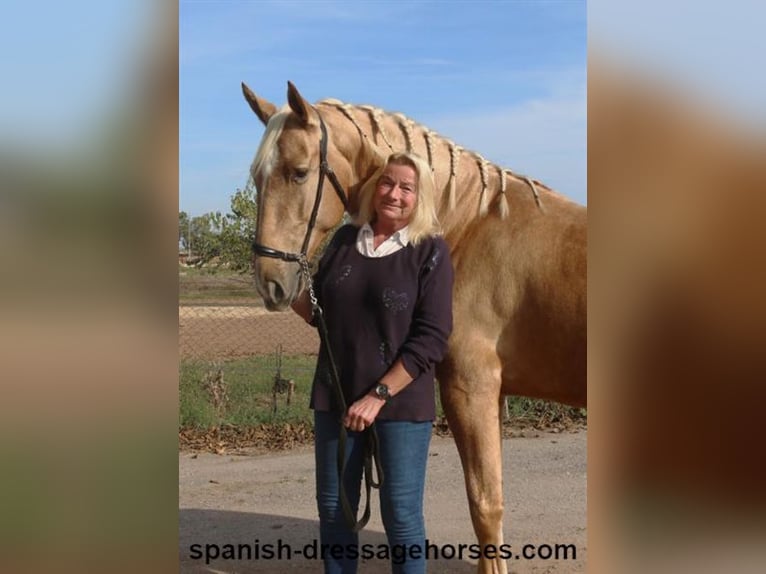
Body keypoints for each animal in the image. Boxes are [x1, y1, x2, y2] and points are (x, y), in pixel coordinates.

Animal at [242, 82, 588, 574]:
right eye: (257, 176)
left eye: (299, 172)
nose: (270, 282)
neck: (469, 224)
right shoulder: (489, 394)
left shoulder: (471, 388)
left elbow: (485, 504)